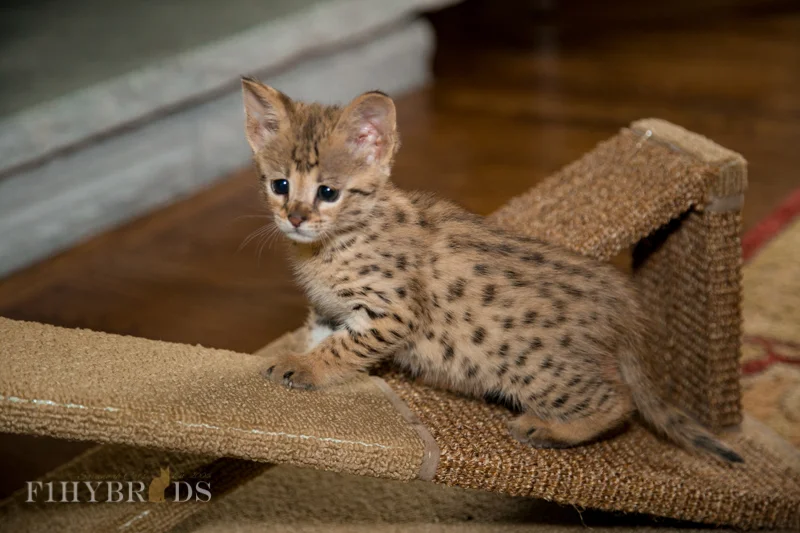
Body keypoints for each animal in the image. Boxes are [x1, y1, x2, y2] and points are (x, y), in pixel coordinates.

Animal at [240, 77, 742, 462]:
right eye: (280, 185)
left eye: (328, 192)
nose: (295, 218)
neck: (326, 247)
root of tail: (622, 300)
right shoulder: (331, 309)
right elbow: (322, 336)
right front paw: (296, 356)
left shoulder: (393, 310)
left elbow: (343, 348)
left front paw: (305, 368)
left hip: (533, 368)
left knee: (620, 400)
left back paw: (551, 429)